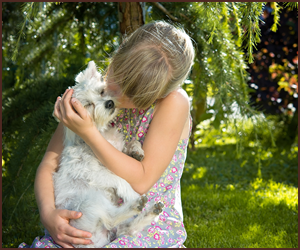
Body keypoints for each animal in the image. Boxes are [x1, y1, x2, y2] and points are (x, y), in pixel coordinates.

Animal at [52, 61, 163, 247]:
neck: (102, 134)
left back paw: (151, 211)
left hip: (112, 223)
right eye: (88, 105)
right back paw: (137, 203)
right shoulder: (94, 172)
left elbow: (132, 142)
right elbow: (120, 179)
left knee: (128, 228)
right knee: (111, 218)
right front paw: (131, 193)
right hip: (89, 202)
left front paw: (136, 151)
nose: (109, 103)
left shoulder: (116, 151)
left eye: (101, 91)